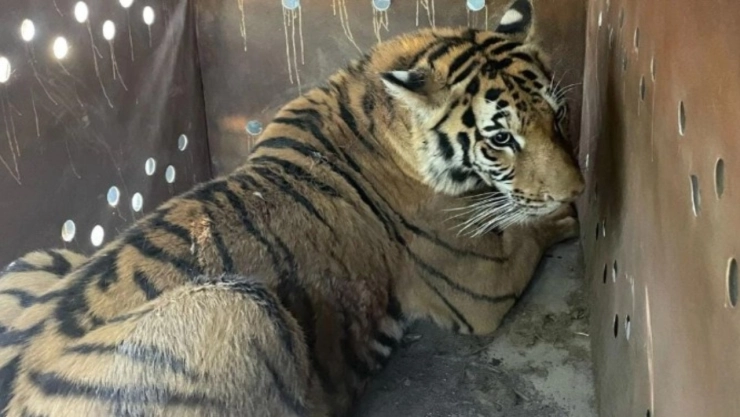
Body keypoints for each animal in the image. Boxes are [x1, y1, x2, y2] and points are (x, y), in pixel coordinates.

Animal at [0, 0, 584, 415]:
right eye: (500, 138)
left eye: (557, 115)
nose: (577, 189)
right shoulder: (483, 284)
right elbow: (528, 232)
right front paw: (563, 219)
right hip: (238, 305)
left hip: (37, 259)